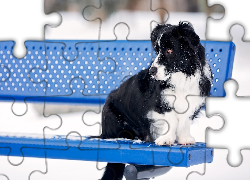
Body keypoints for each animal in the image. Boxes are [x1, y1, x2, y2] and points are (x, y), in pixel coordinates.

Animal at [100, 21, 212, 179]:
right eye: (157, 50)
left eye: (170, 50)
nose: (152, 71)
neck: (181, 77)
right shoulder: (157, 105)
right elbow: (172, 119)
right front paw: (166, 139)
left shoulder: (193, 104)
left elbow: (184, 122)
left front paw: (184, 139)